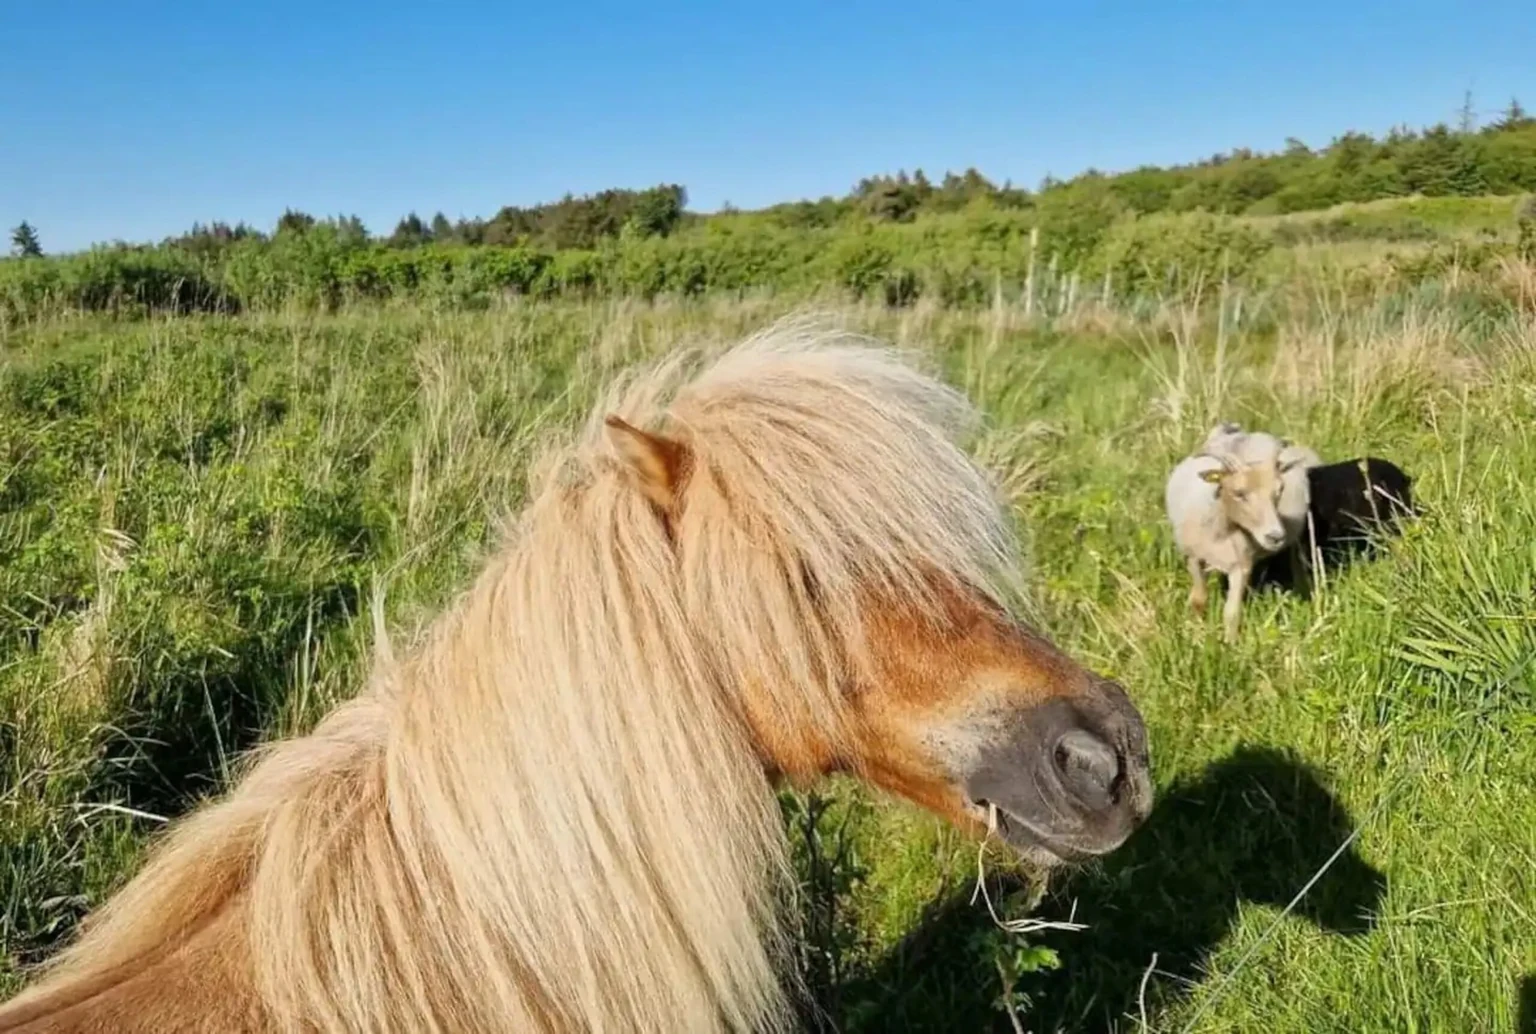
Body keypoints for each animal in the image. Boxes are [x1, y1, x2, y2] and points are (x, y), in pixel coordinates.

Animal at [1165, 425, 1317, 641]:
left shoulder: (1241, 566)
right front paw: (1195, 635)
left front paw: (1230, 644)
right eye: (1239, 493)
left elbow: (1231, 612)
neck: (1220, 530)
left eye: (1279, 491)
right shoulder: (1192, 558)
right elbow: (1198, 600)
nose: (1275, 536)